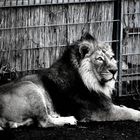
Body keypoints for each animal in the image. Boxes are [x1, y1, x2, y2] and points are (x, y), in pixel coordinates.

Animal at [0, 32, 140, 130]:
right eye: (99, 59)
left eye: (111, 57)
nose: (115, 70)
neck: (94, 83)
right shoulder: (102, 112)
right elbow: (128, 112)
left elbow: (126, 108)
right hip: (30, 87)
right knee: (44, 122)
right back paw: (69, 119)